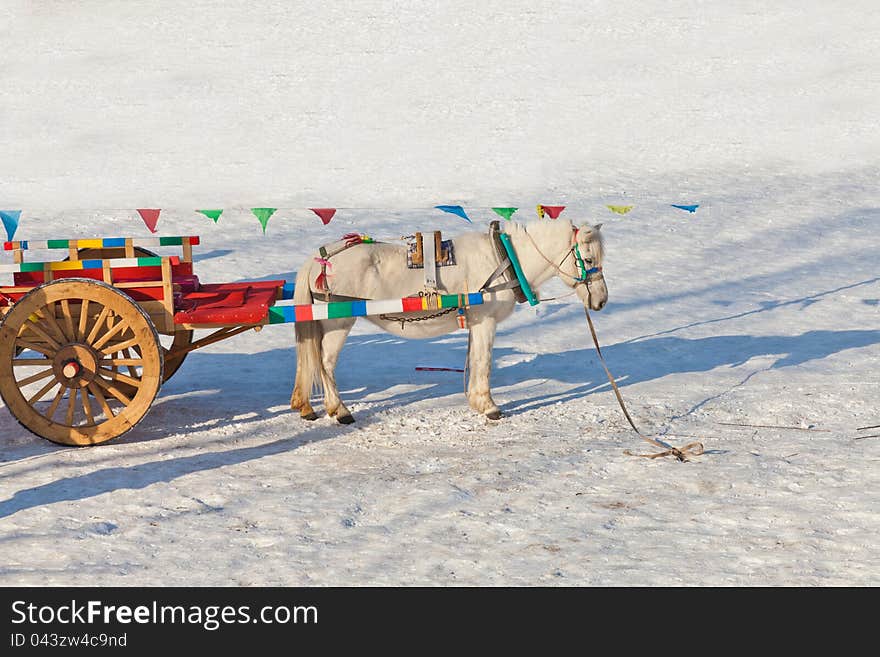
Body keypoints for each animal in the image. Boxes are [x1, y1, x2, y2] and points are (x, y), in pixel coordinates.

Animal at [292, 218, 608, 422]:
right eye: (589, 260)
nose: (602, 300)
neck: (503, 259)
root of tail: (319, 258)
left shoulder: (475, 323)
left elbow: (474, 359)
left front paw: (476, 401)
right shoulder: (485, 320)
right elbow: (484, 361)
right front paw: (489, 406)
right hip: (338, 322)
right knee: (325, 363)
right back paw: (340, 410)